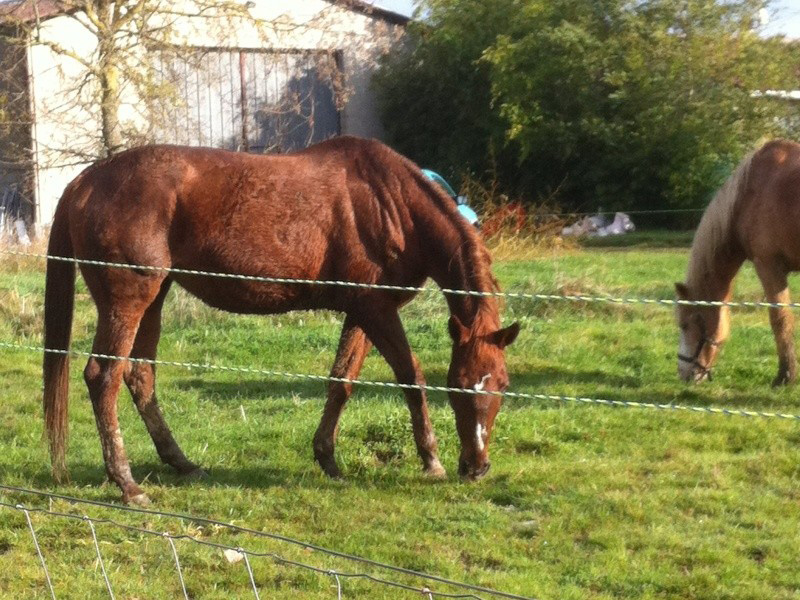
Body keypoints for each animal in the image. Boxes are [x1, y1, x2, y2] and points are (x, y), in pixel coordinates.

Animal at [42, 136, 520, 506]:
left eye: (501, 384)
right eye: (458, 387)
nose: (477, 465)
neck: (391, 202)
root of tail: (85, 182)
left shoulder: (363, 312)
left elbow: (341, 381)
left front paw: (328, 458)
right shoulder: (377, 311)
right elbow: (411, 377)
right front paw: (432, 459)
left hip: (155, 298)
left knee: (140, 377)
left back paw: (181, 463)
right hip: (128, 299)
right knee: (104, 377)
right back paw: (127, 483)